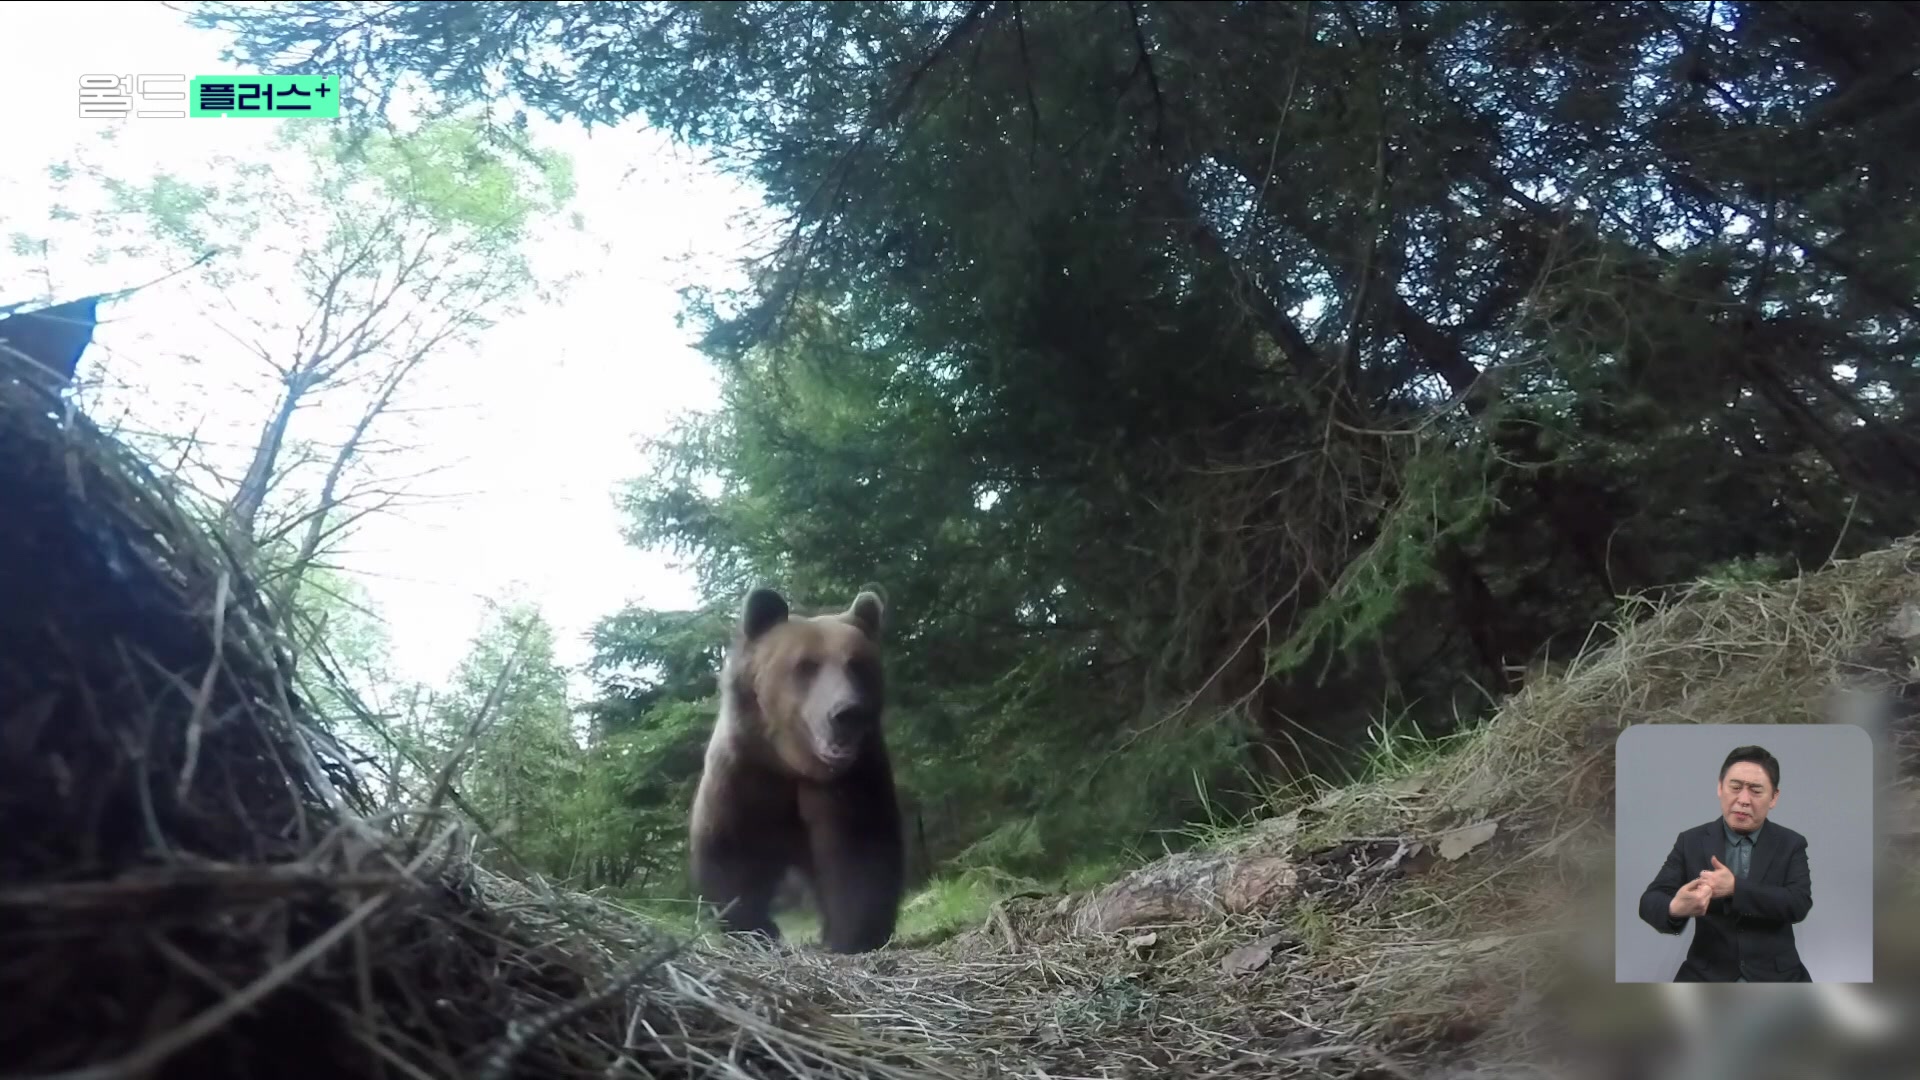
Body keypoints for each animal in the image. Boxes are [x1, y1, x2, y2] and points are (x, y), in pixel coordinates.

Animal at [687, 580, 902, 949]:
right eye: (807, 665)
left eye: (857, 664)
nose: (847, 712)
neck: (790, 764)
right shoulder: (743, 774)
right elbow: (731, 855)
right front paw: (758, 929)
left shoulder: (850, 782)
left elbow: (860, 855)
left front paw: (849, 937)